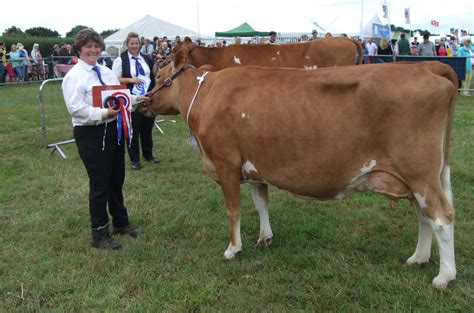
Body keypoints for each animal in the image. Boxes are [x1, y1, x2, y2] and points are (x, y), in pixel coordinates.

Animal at [145, 49, 460, 288]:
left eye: (159, 77)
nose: (142, 102)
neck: (206, 94)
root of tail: (427, 66)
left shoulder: (226, 164)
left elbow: (233, 210)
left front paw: (232, 249)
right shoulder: (254, 167)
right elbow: (261, 203)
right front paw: (265, 237)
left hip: (420, 172)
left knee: (441, 217)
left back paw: (444, 276)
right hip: (420, 176)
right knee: (423, 215)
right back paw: (418, 258)